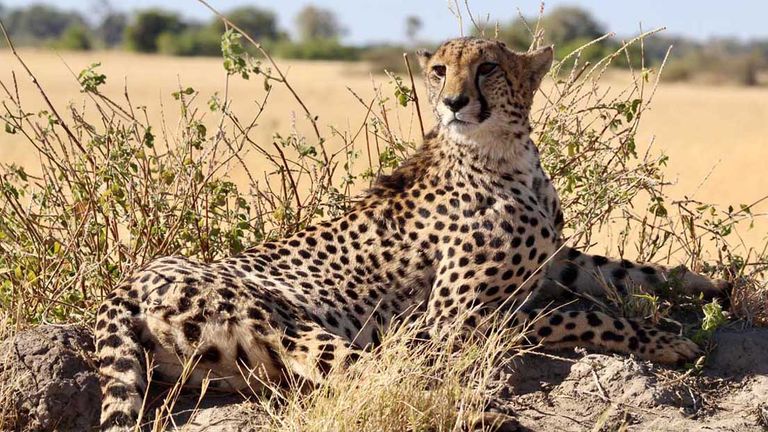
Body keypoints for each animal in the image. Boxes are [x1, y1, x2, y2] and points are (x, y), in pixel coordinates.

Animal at [95, 37, 730, 431]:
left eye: (487, 68)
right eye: (438, 70)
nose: (452, 101)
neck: (506, 154)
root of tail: (132, 279)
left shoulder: (552, 260)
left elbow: (619, 268)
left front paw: (709, 284)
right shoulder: (452, 318)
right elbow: (578, 313)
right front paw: (661, 339)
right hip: (282, 320)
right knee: (370, 378)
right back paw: (483, 418)